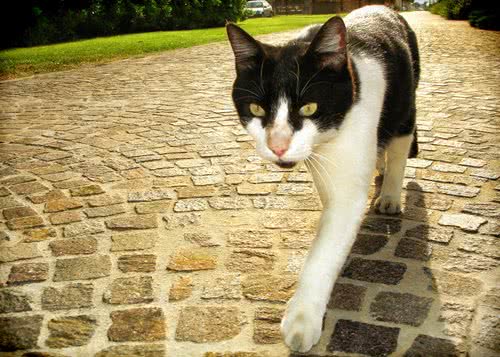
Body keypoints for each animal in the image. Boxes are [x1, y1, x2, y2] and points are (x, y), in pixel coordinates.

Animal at [227, 5, 418, 354]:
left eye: (309, 107)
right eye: (256, 108)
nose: (278, 145)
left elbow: (327, 244)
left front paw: (302, 320)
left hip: (405, 100)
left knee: (400, 142)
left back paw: (389, 194)